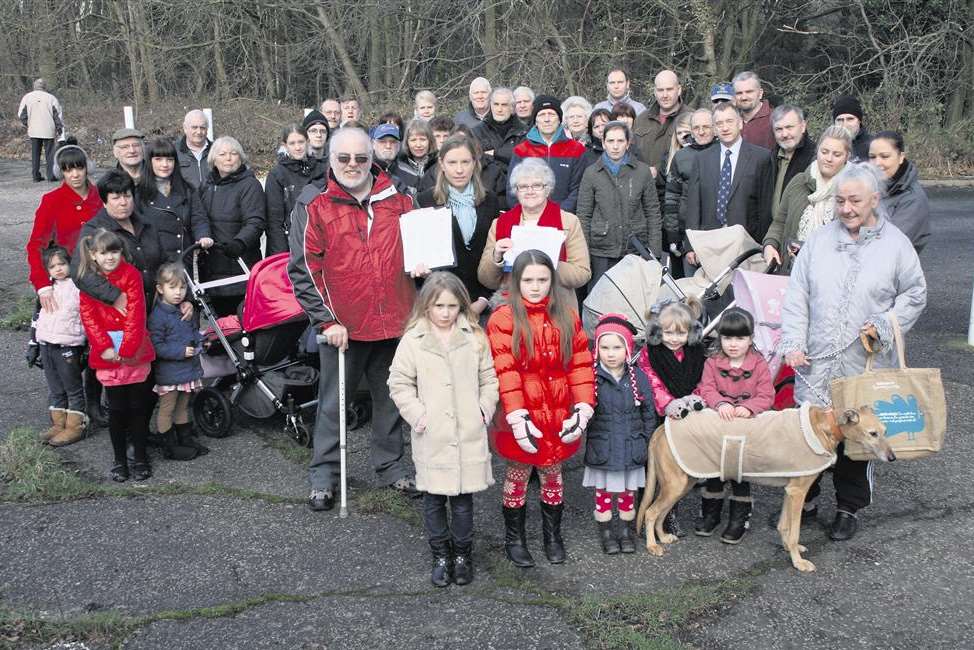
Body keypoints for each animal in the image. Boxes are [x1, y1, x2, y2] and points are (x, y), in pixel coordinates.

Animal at [636, 408, 896, 568]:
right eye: (872, 433)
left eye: (885, 431)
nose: (893, 457)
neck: (823, 425)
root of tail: (661, 428)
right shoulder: (798, 492)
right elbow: (794, 530)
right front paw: (798, 562)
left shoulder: (790, 491)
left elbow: (784, 526)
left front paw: (789, 548)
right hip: (676, 484)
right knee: (650, 511)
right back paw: (652, 546)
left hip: (682, 483)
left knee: (660, 512)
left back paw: (662, 537)